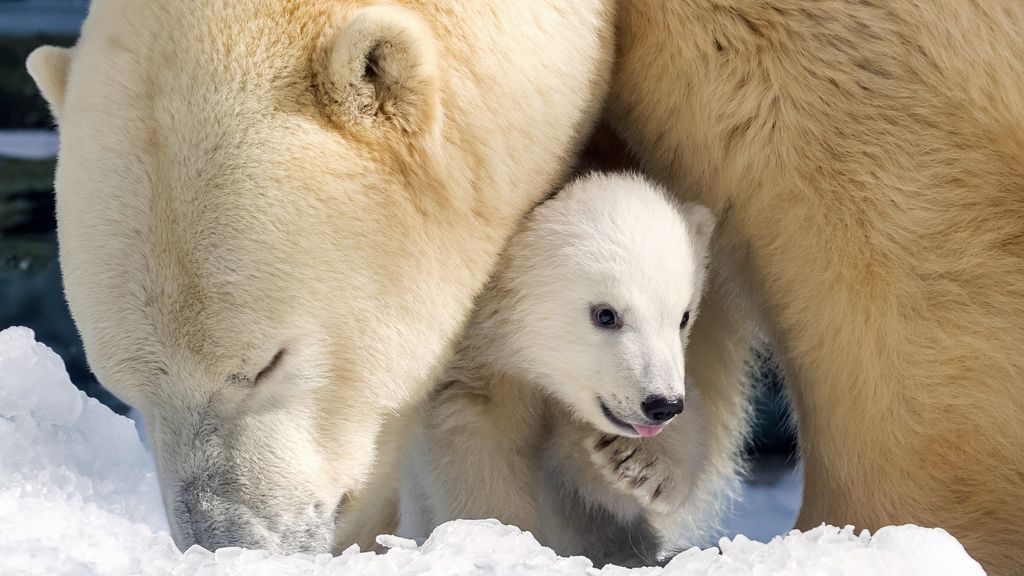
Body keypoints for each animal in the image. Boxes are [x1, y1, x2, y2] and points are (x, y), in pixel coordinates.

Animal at [398, 172, 743, 567]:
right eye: (605, 314)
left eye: (683, 317)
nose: (662, 404)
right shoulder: (479, 381)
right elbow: (477, 460)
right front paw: (500, 537)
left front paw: (637, 463)